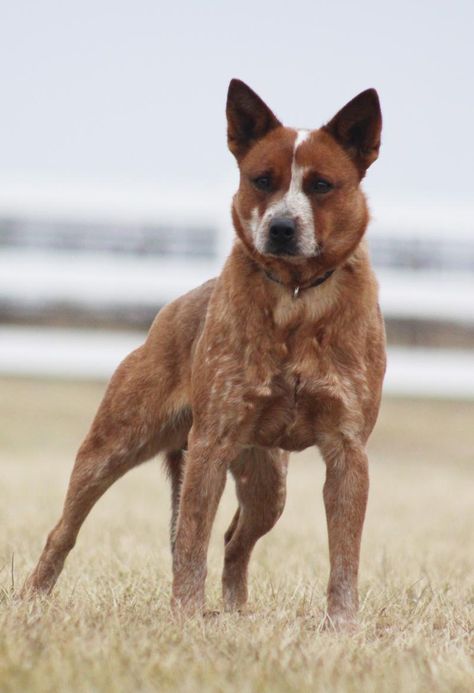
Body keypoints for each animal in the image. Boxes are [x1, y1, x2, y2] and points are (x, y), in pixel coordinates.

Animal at [22, 79, 386, 628]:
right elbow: (191, 541)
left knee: (237, 539)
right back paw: (32, 598)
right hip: (113, 445)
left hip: (267, 481)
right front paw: (186, 617)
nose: (281, 227)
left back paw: (235, 609)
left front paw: (343, 626)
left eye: (322, 185)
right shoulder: (211, 442)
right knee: (64, 529)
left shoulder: (348, 449)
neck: (296, 296)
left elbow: (345, 554)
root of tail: (170, 310)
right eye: (261, 180)